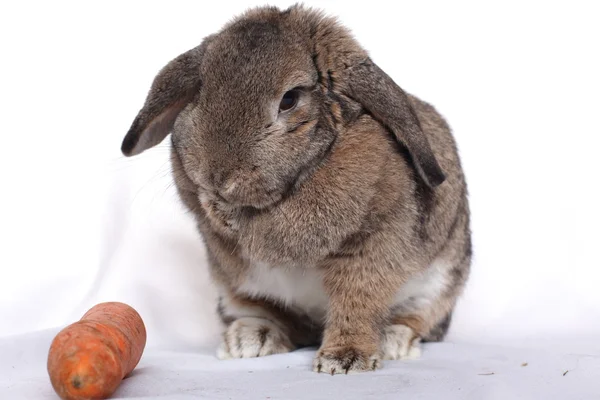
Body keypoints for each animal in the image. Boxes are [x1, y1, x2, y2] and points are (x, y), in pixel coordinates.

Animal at [119, 3, 472, 374]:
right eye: (201, 90)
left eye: (289, 99)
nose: (219, 178)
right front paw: (220, 210)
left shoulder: (372, 247)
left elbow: (356, 301)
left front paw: (345, 359)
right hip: (234, 289)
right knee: (280, 321)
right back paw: (248, 340)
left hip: (440, 284)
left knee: (416, 319)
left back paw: (394, 341)